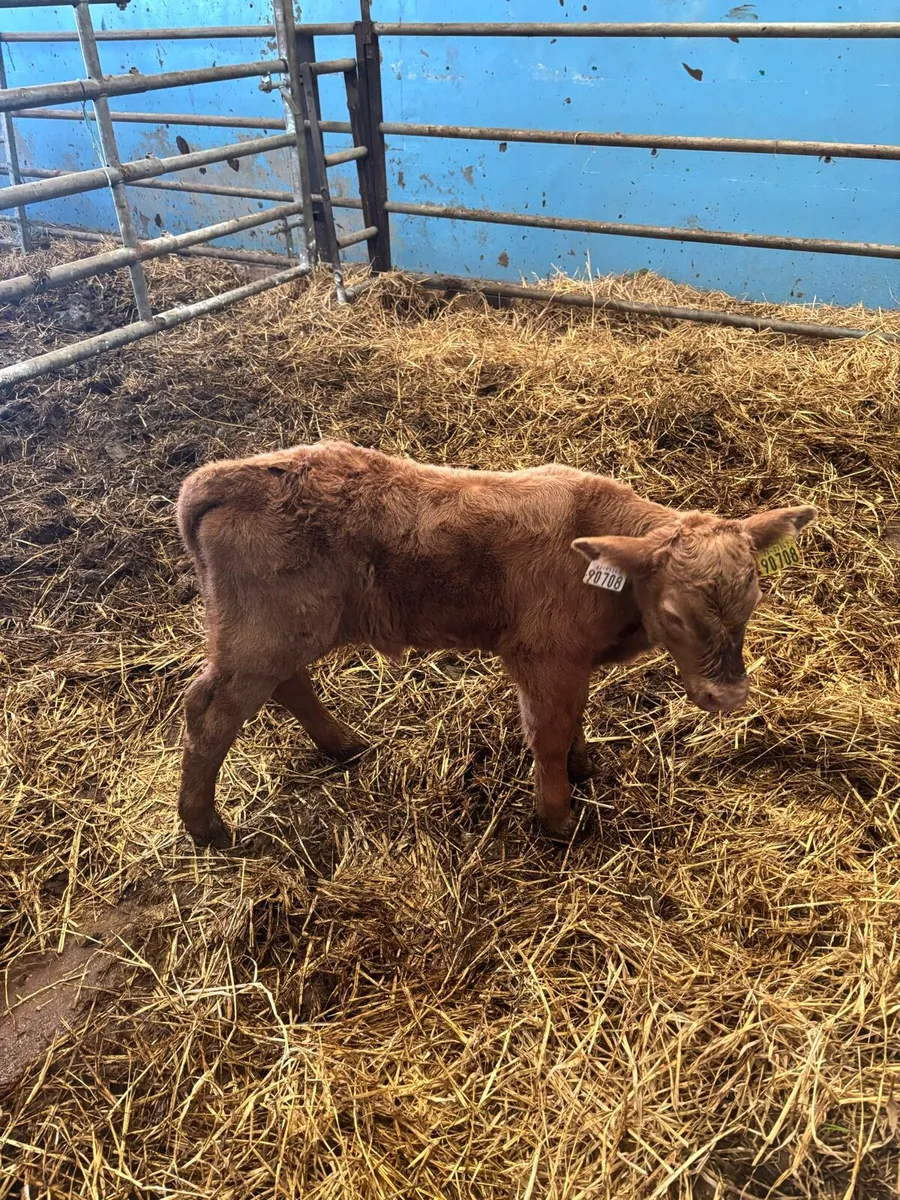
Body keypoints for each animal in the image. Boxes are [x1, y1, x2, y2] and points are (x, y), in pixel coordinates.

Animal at [174, 440, 815, 847]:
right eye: (676, 616)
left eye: (753, 601)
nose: (727, 697)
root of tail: (230, 474)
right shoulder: (542, 657)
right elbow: (549, 734)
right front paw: (558, 818)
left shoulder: (572, 661)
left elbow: (574, 720)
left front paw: (585, 766)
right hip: (260, 634)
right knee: (211, 711)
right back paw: (206, 828)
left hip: (282, 632)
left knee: (287, 685)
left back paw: (344, 746)